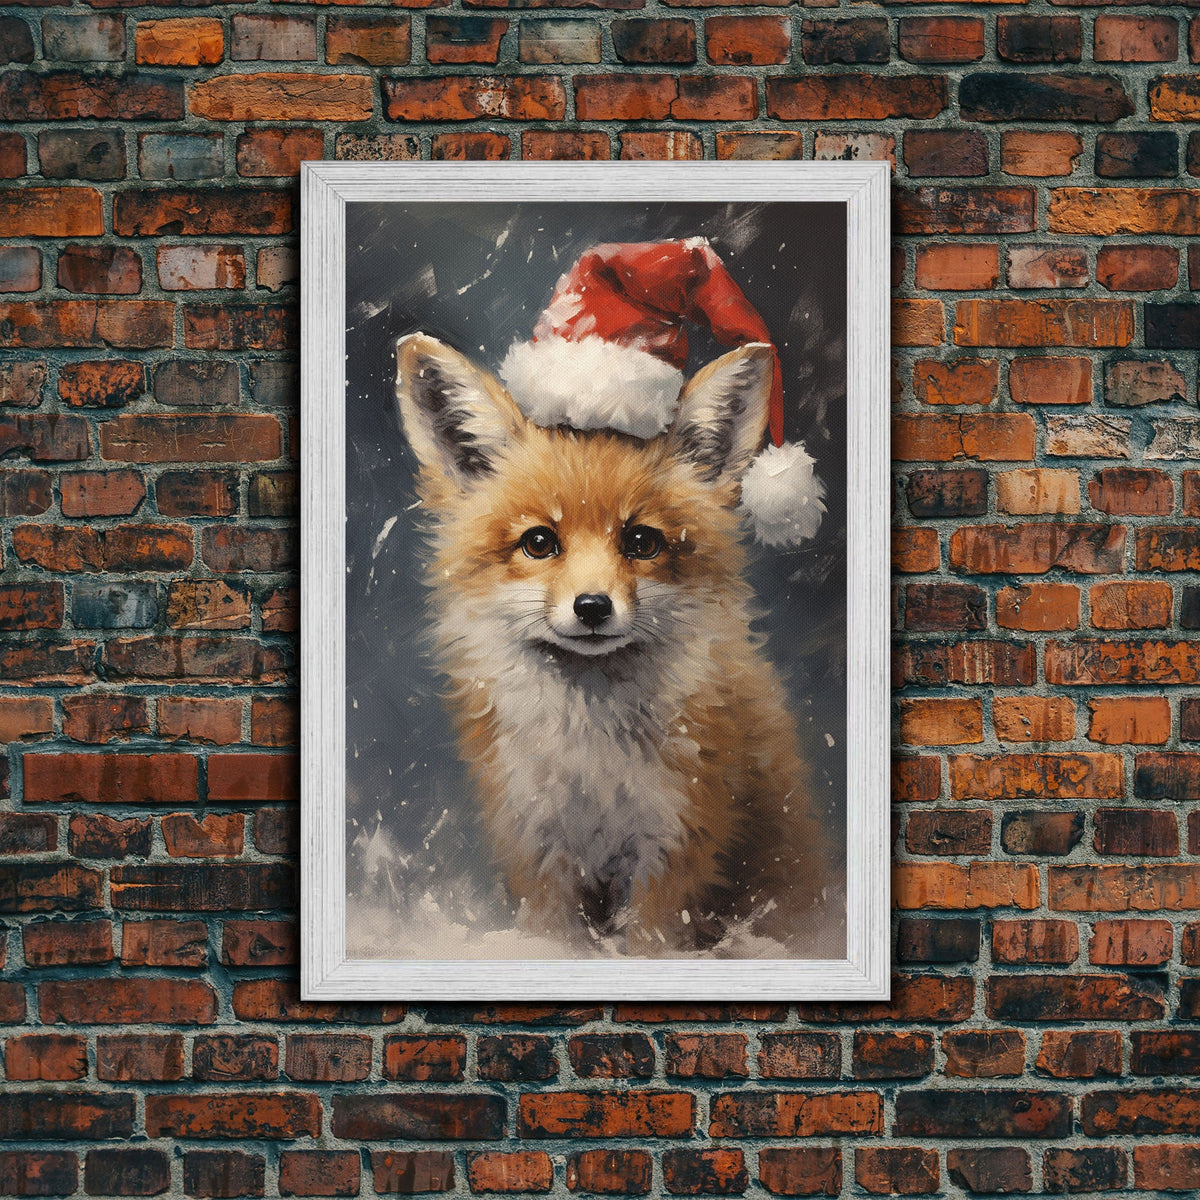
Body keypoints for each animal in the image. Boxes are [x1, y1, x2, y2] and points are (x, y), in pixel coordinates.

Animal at [394, 331, 837, 956]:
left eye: (641, 541)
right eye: (539, 542)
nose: (592, 607)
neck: (591, 762)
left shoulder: (677, 845)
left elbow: (649, 944)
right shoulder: (539, 850)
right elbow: (554, 940)